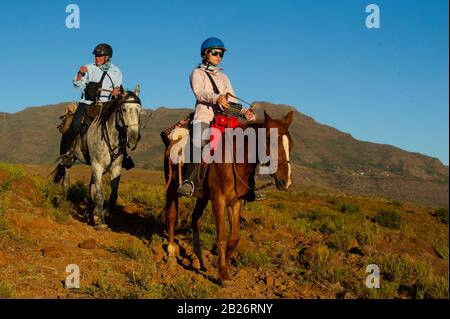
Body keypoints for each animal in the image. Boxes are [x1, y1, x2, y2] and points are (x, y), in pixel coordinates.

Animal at [53, 86, 143, 229]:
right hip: (67, 159)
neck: (110, 136)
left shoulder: (115, 168)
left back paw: (92, 212)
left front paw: (103, 213)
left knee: (91, 186)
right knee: (66, 181)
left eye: (140, 111)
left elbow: (112, 194)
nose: (134, 138)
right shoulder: (97, 166)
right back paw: (65, 203)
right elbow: (100, 194)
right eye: (124, 109)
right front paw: (101, 223)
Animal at [163, 110, 294, 288]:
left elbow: (234, 238)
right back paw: (171, 254)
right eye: (270, 142)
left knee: (195, 219)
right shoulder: (219, 201)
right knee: (171, 216)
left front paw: (216, 262)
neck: (235, 161)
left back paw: (199, 259)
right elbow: (222, 238)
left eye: (291, 144)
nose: (286, 181)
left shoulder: (235, 202)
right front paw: (224, 275)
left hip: (202, 197)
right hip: (171, 188)